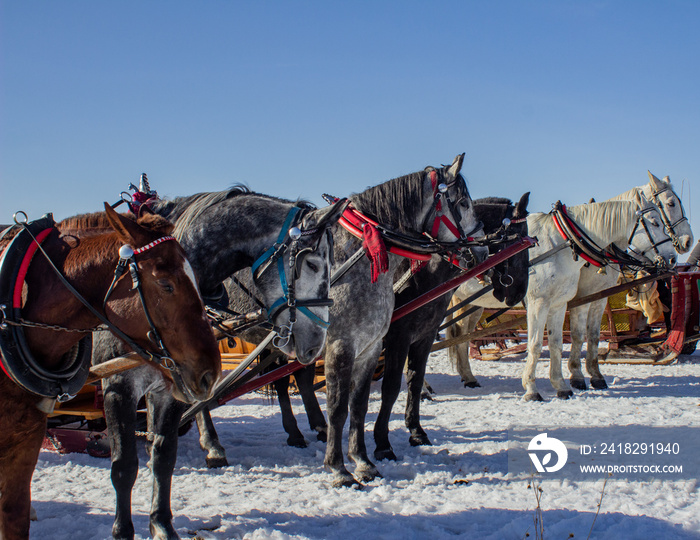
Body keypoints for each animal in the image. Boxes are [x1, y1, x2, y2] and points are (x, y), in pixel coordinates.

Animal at [92, 187, 344, 540]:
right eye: (310, 263)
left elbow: (164, 455)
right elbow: (124, 465)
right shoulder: (117, 385)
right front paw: (123, 530)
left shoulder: (175, 385)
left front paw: (162, 524)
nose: (315, 344)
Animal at [372, 194, 532, 460]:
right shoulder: (399, 335)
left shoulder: (425, 334)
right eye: (519, 238)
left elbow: (415, 380)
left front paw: (416, 431)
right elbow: (391, 386)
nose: (520, 292)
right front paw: (383, 443)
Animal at [448, 196, 680, 398]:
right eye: (655, 222)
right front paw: (532, 389)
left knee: (462, 338)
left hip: (471, 304)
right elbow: (536, 344)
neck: (560, 244)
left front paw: (562, 385)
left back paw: (468, 377)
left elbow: (558, 343)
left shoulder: (561, 303)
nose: (672, 257)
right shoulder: (539, 303)